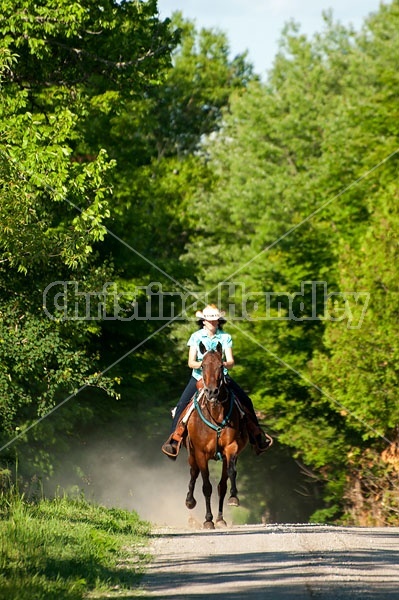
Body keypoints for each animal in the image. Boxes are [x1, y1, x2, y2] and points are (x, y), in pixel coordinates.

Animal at [185, 342, 248, 528]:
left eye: (221, 366)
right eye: (202, 365)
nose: (212, 392)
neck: (215, 412)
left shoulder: (230, 448)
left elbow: (230, 475)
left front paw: (233, 498)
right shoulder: (201, 453)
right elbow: (206, 486)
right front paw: (208, 520)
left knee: (221, 485)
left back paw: (220, 519)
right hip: (192, 454)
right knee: (193, 473)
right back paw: (190, 501)